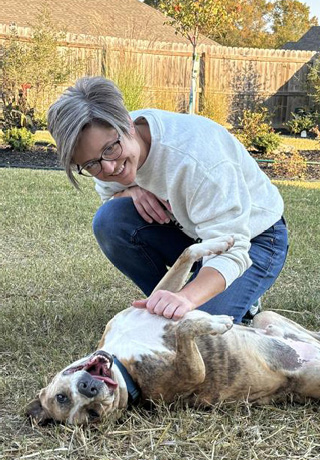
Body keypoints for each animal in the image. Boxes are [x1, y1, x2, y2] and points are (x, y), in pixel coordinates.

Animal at [26, 235, 320, 426]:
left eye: (61, 396)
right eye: (93, 414)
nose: (89, 389)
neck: (122, 362)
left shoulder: (153, 301)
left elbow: (186, 254)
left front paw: (221, 243)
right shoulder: (193, 372)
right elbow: (185, 331)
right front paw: (216, 323)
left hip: (266, 319)